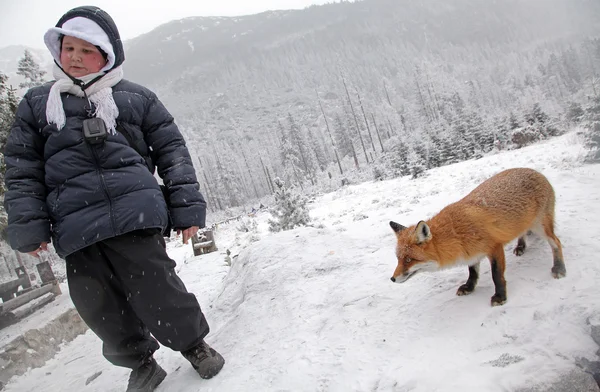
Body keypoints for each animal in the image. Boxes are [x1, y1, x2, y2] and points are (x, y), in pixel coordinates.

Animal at [392, 168, 564, 306]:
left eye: (409, 260)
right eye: (398, 259)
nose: (392, 279)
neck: (456, 234)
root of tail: (537, 172)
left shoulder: (495, 247)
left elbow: (496, 275)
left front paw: (500, 296)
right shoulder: (471, 253)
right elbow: (472, 272)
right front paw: (469, 287)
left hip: (540, 227)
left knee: (556, 243)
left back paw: (559, 268)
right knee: (523, 233)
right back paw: (520, 246)